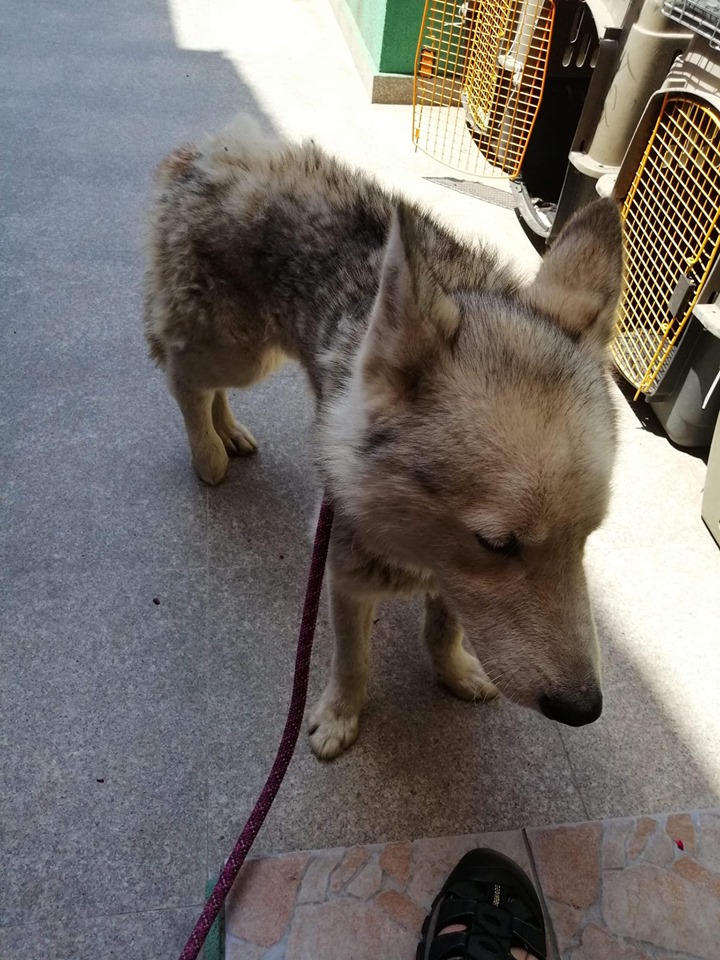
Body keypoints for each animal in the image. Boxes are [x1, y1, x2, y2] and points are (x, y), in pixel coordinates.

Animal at [144, 117, 623, 760]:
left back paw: (229, 432)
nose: (584, 710)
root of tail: (203, 152)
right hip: (240, 354)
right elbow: (354, 664)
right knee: (184, 376)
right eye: (498, 544)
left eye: (587, 539)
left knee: (202, 382)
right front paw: (341, 718)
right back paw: (208, 453)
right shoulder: (344, 580)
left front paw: (453, 672)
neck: (417, 544)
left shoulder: (453, 583)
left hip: (251, 354)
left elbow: (443, 631)